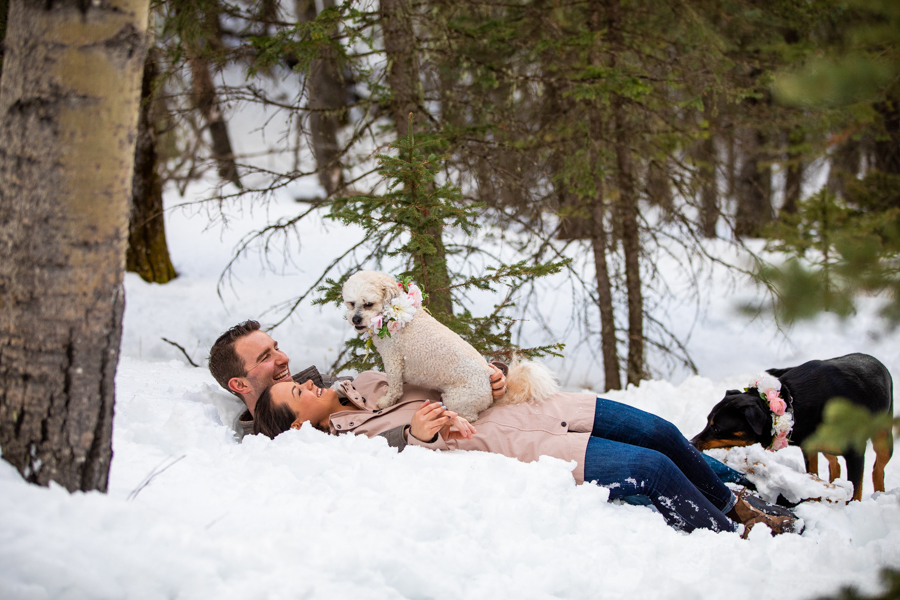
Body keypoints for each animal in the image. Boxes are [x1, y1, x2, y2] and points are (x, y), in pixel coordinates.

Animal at [342, 272, 560, 422]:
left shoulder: (393, 359)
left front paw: (386, 402)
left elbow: (394, 387)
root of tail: (489, 382)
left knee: (468, 418)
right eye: (351, 303)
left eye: (369, 304)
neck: (393, 316)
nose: (355, 319)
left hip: (457, 400)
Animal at [688, 352, 892, 502]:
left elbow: (856, 490)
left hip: (883, 437)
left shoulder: (855, 452)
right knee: (834, 462)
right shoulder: (809, 448)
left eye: (716, 429)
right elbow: (813, 473)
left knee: (878, 468)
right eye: (707, 421)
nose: (691, 443)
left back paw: (879, 494)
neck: (792, 403)